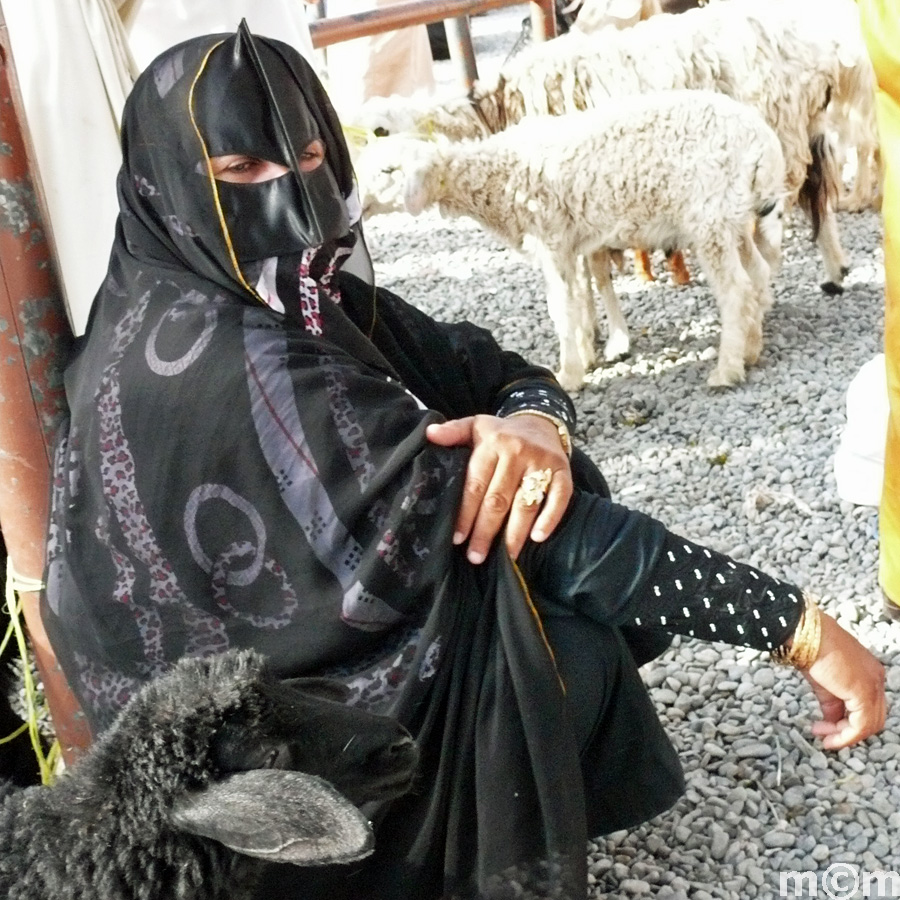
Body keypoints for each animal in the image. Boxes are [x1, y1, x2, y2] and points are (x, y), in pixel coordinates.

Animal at [352, 0, 872, 292]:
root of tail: (820, 47)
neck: (495, 111)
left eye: (380, 133)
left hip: (779, 129)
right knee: (819, 194)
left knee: (792, 203)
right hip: (804, 127)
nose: (355, 202)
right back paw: (834, 271)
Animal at [358, 89, 780, 392]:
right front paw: (586, 355)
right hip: (731, 215)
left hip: (707, 216)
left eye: (389, 170)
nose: (358, 203)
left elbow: (561, 310)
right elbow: (580, 299)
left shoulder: (551, 240)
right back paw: (752, 349)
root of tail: (761, 140)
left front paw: (569, 375)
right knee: (757, 273)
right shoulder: (571, 242)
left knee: (736, 289)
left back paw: (727, 369)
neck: (496, 176)